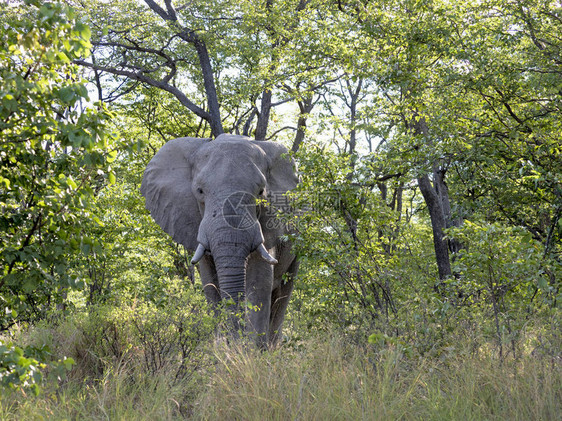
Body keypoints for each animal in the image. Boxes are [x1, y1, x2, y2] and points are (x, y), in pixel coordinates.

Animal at [140, 133, 298, 346]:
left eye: (261, 192)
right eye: (200, 191)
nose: (237, 340)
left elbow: (259, 281)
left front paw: (252, 351)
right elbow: (210, 285)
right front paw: (223, 348)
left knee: (283, 293)